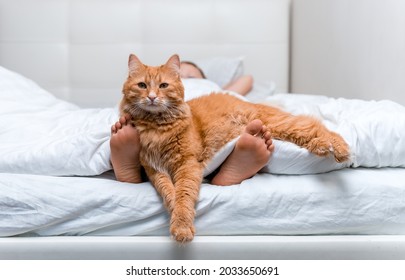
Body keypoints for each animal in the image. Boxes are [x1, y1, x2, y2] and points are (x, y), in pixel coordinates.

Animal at [118, 53, 348, 242]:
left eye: (163, 85)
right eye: (142, 85)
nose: (152, 97)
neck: (156, 128)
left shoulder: (188, 163)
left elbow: (184, 193)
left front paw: (182, 225)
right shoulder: (154, 169)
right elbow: (169, 192)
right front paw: (175, 211)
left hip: (277, 124)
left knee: (314, 125)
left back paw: (339, 149)